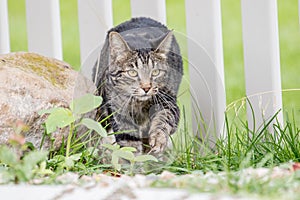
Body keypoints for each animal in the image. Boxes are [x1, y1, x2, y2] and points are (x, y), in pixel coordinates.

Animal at [93, 17, 183, 155]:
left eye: (155, 72)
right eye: (132, 73)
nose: (146, 88)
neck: (139, 104)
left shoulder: (168, 101)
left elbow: (164, 117)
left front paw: (158, 138)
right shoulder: (118, 112)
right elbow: (129, 144)